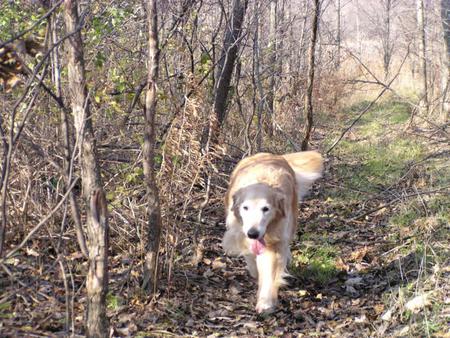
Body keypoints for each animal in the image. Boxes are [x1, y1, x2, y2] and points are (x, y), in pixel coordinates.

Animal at [222, 152, 324, 312]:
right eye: (245, 208)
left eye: (266, 209)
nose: (253, 233)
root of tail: (272, 154)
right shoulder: (240, 233)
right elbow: (250, 256)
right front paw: (254, 271)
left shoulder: (275, 241)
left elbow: (269, 269)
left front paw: (266, 302)